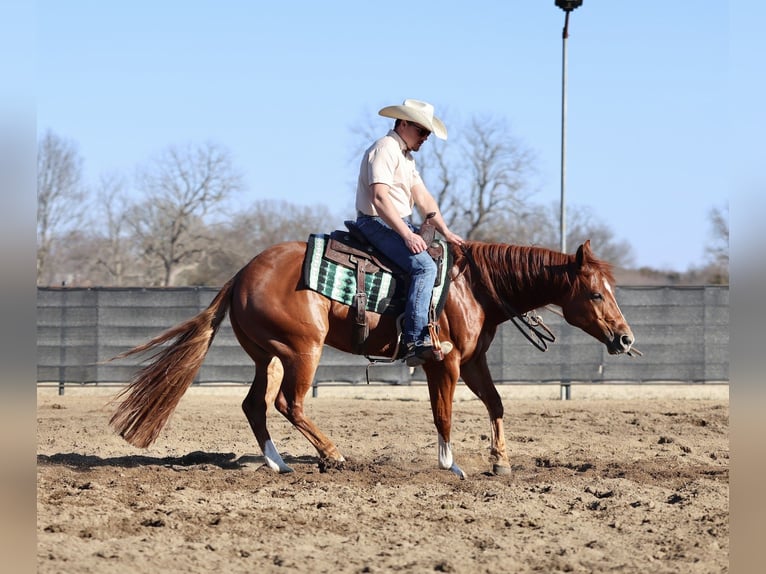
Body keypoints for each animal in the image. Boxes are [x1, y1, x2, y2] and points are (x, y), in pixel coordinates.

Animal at [109, 238, 635, 478]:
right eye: (594, 293)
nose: (625, 339)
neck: (473, 288)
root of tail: (241, 274)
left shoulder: (473, 362)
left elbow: (496, 404)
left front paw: (501, 461)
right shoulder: (442, 363)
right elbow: (443, 414)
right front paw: (451, 465)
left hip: (268, 356)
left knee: (255, 405)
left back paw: (279, 464)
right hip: (302, 351)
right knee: (288, 403)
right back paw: (333, 454)